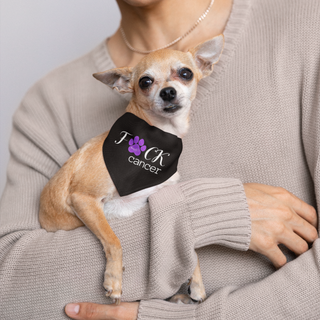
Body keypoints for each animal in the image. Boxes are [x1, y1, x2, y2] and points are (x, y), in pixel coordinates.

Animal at [40, 35, 224, 304]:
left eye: (186, 73)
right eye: (145, 82)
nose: (168, 91)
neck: (157, 139)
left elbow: (188, 248)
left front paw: (197, 283)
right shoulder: (83, 198)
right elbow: (113, 240)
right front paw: (114, 280)